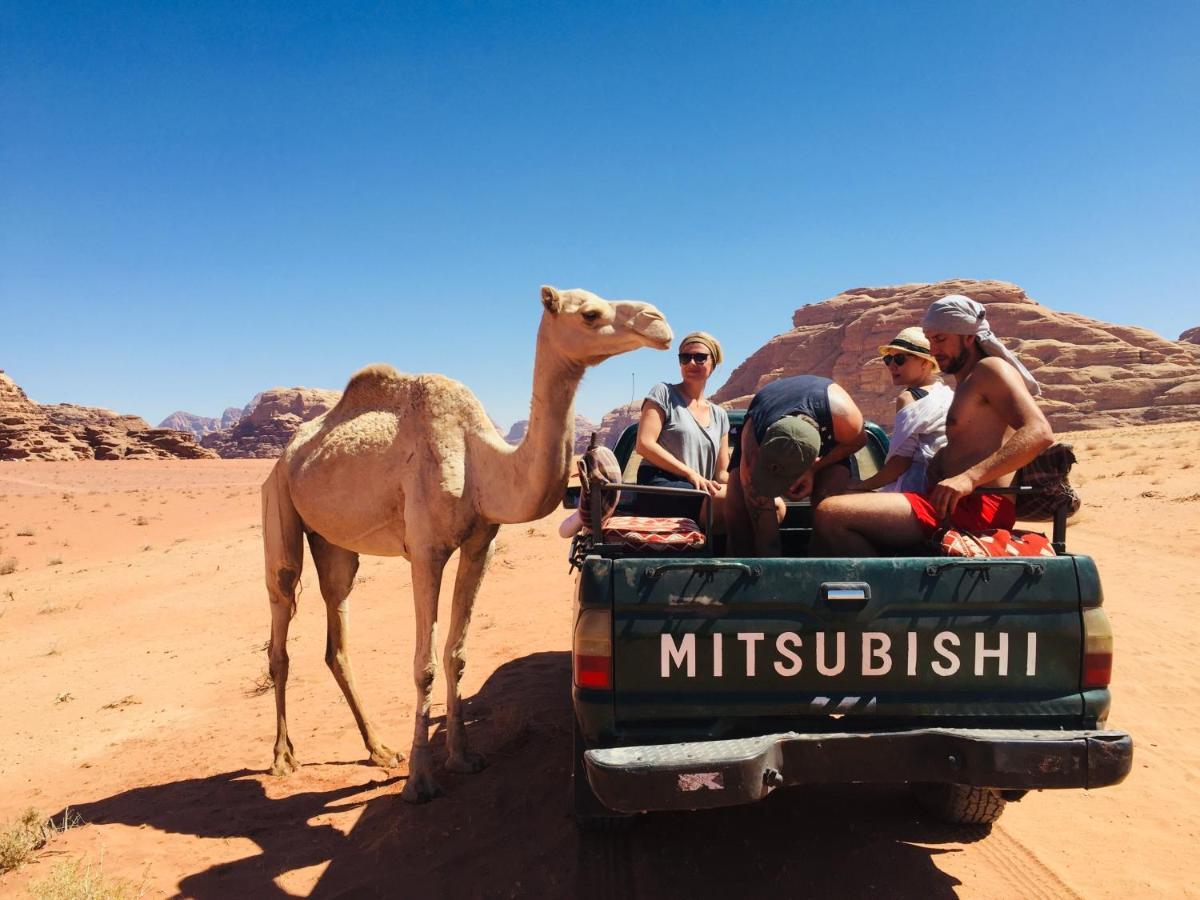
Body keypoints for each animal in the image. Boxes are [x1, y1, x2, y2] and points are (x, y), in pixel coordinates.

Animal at [261, 283, 672, 801]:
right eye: (591, 314)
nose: (659, 323)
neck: (481, 462)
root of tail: (289, 452)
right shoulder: (425, 551)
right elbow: (424, 664)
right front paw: (420, 779)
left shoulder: (481, 545)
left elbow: (455, 655)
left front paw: (462, 757)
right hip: (278, 501)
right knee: (280, 611)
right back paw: (282, 757)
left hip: (335, 545)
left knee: (336, 630)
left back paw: (379, 749)